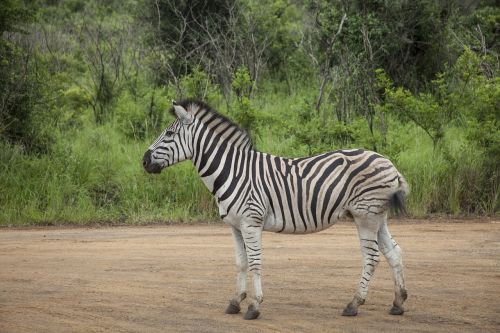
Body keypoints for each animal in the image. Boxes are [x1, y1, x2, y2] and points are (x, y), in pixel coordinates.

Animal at [143, 98, 408, 320]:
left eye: (169, 133)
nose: (143, 161)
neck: (232, 171)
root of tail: (389, 164)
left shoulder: (251, 222)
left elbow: (255, 262)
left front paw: (254, 306)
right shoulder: (234, 226)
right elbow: (240, 262)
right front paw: (235, 301)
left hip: (366, 216)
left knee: (371, 257)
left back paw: (354, 304)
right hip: (377, 216)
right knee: (393, 252)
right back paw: (398, 302)